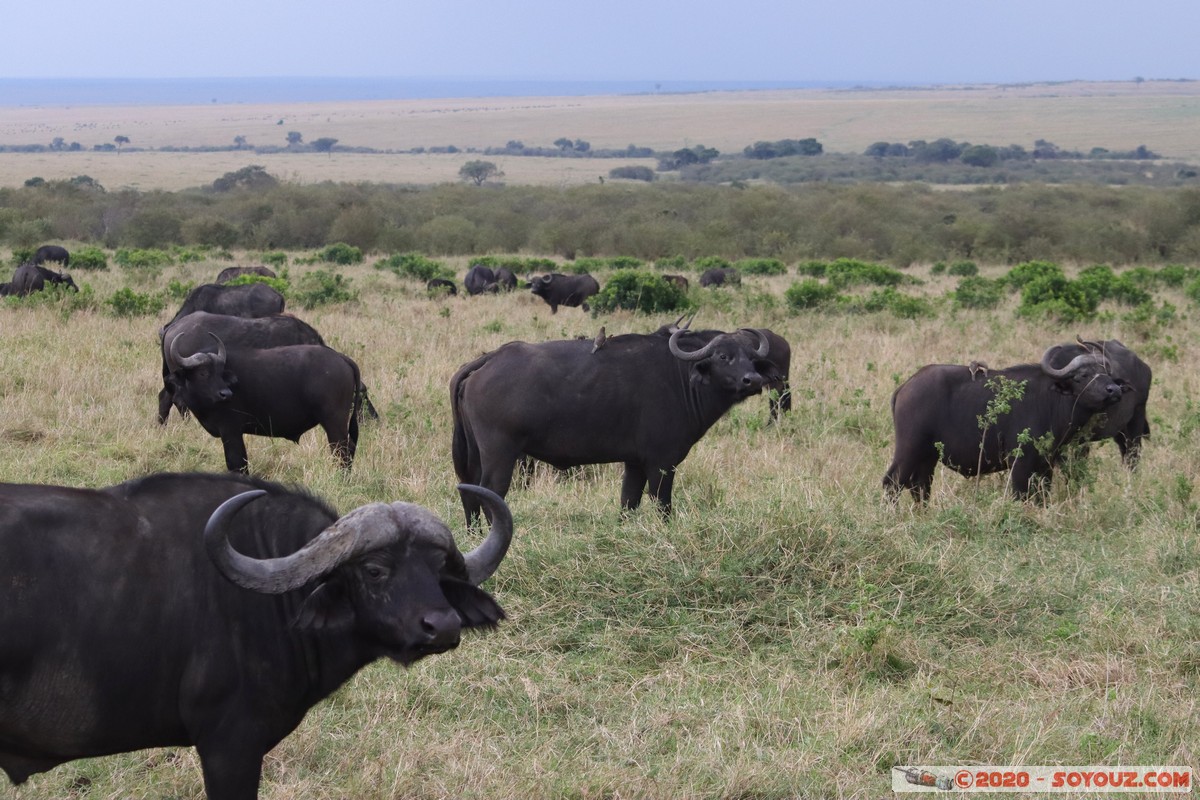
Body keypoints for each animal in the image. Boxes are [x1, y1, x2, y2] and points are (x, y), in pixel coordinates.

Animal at [169, 335, 362, 472]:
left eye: (219, 372)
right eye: (203, 373)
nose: (226, 394)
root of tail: (340, 358)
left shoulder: (231, 431)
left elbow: (237, 463)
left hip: (334, 421)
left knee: (342, 451)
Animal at [451, 326, 768, 520]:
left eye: (751, 358)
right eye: (724, 356)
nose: (753, 380)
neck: (679, 375)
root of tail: (490, 359)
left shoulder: (635, 463)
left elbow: (629, 502)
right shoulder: (662, 463)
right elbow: (662, 504)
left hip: (474, 454)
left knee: (469, 491)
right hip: (500, 454)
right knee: (491, 493)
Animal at [888, 343, 1128, 501]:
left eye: (1104, 372)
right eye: (1082, 376)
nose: (1114, 390)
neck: (1052, 400)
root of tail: (906, 386)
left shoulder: (1046, 465)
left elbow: (1042, 496)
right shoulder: (1019, 463)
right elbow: (1020, 494)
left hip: (928, 457)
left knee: (920, 486)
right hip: (909, 450)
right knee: (892, 483)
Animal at [1046, 335, 1147, 465]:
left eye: (1107, 374)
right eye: (1083, 375)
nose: (1115, 390)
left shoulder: (1083, 437)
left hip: (1136, 420)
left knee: (1133, 454)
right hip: (1120, 431)